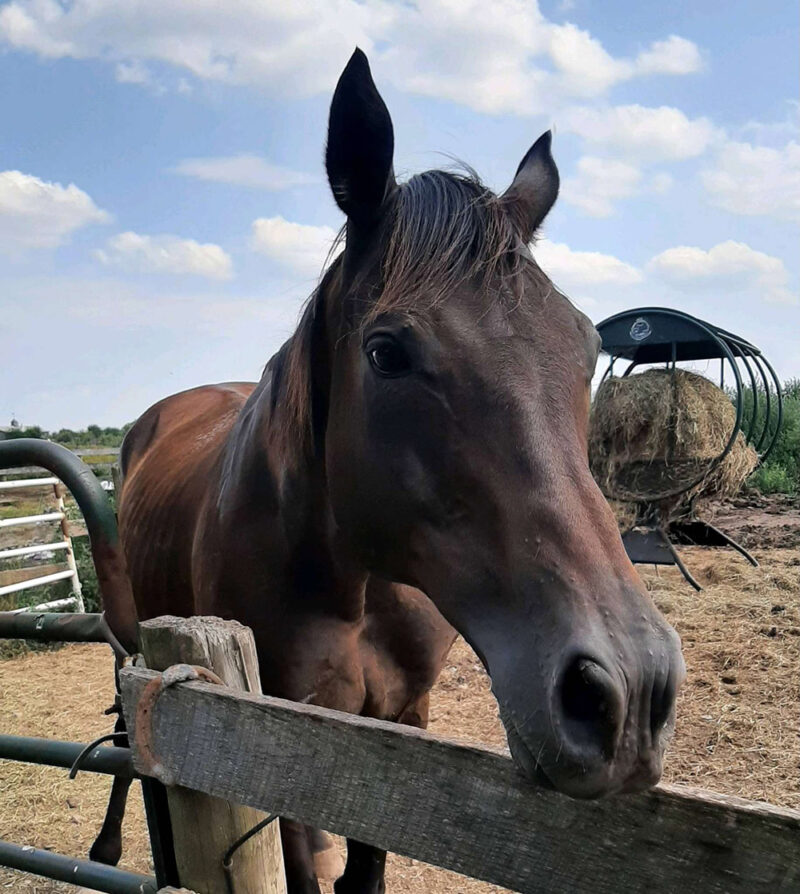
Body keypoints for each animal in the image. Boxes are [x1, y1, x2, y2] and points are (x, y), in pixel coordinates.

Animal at [114, 49, 684, 894]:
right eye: (387, 352)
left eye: (586, 346)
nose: (630, 691)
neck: (349, 577)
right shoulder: (278, 747)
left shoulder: (400, 722)